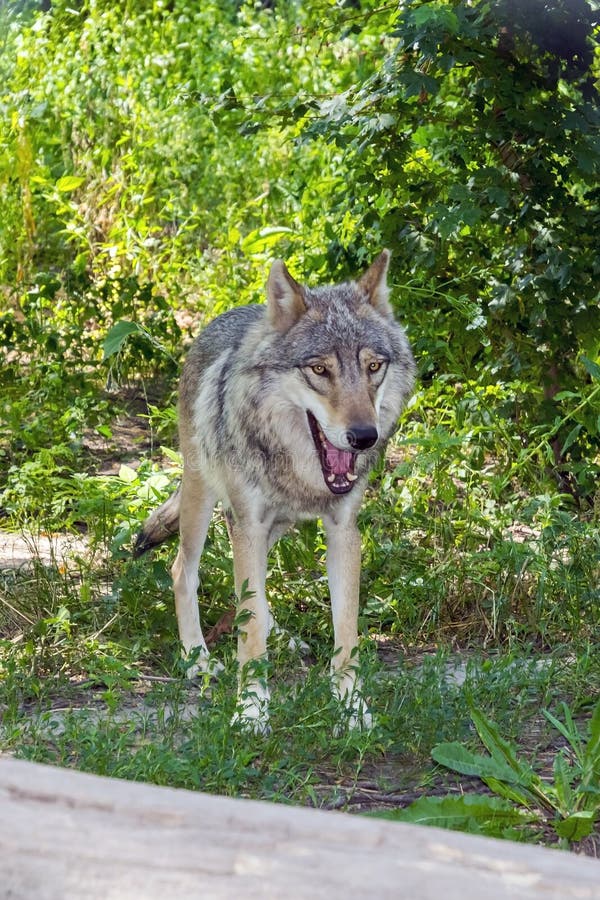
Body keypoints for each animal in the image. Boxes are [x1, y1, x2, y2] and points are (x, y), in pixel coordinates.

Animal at [136, 251, 418, 732]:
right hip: (204, 499)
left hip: (272, 527)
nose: (364, 437)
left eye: (373, 367)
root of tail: (227, 317)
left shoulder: (343, 531)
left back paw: (279, 637)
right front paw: (251, 710)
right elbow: (249, 633)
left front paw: (351, 708)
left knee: (254, 593)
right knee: (182, 571)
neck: (302, 471)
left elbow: (346, 632)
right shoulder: (247, 523)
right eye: (319, 369)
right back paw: (197, 658)